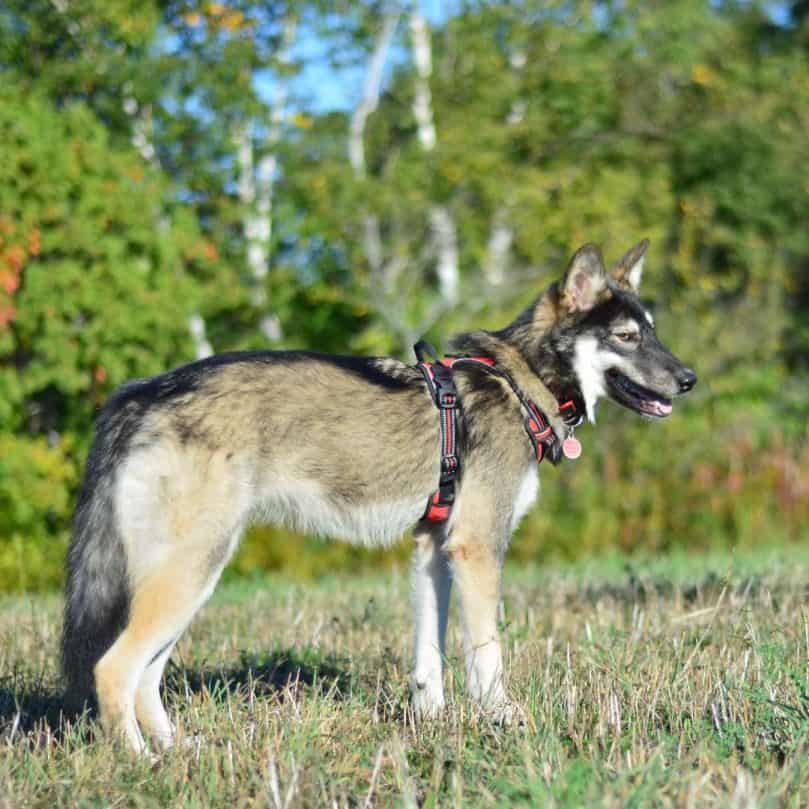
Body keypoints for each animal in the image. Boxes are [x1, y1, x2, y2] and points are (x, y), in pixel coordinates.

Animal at [61, 238, 696, 752]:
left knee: (146, 677)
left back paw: (177, 751)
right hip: (189, 575)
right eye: (627, 337)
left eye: (654, 330)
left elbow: (430, 662)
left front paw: (432, 726)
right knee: (113, 670)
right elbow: (486, 658)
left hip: (190, 581)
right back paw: (141, 762)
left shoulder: (433, 551)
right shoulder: (476, 549)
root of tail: (141, 392)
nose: (689, 379)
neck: (520, 384)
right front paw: (506, 722)